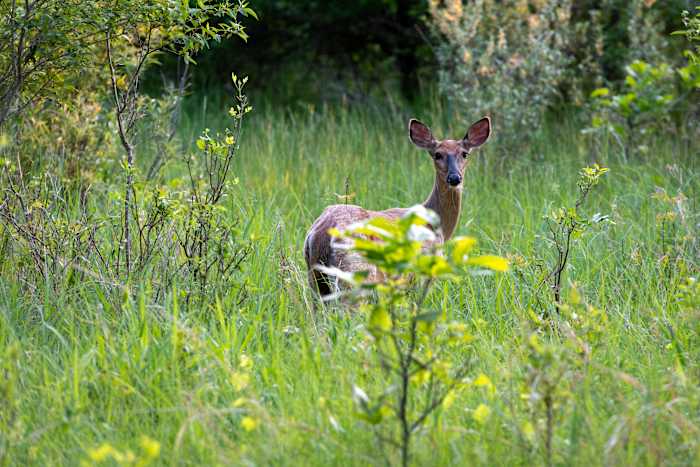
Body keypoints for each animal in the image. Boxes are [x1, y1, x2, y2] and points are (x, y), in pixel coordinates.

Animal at [303, 116, 491, 297]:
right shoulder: (423, 268)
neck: (437, 225)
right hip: (356, 270)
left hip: (316, 279)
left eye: (465, 154)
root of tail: (321, 233)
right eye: (437, 154)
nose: (454, 178)